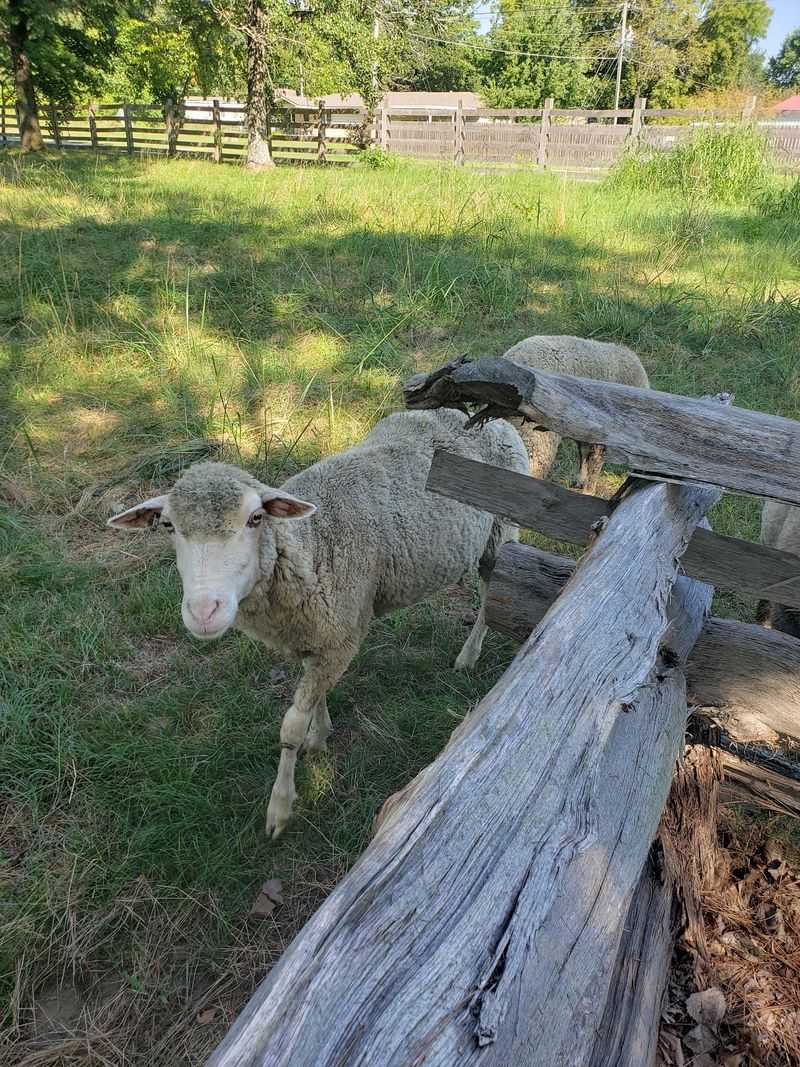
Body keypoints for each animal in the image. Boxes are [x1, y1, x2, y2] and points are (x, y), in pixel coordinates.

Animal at [108, 409, 528, 838]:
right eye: (168, 526)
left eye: (256, 518)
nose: (204, 611)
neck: (310, 548)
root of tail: (473, 415)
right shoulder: (315, 635)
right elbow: (316, 695)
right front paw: (320, 734)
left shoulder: (343, 637)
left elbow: (290, 727)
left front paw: (280, 807)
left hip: (500, 534)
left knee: (490, 597)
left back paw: (468, 656)